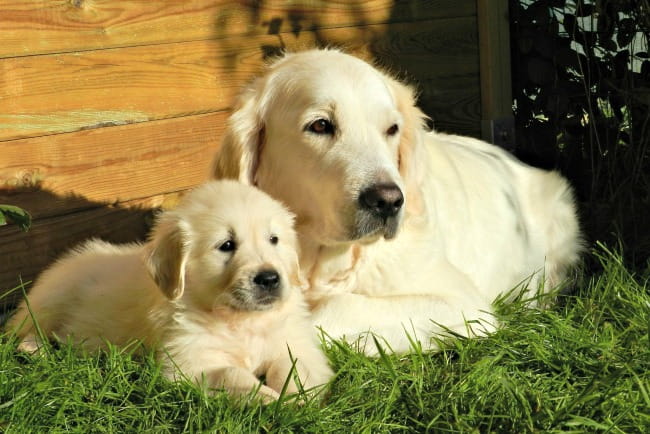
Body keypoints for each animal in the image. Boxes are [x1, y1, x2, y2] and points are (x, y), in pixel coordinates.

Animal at [8, 179, 334, 400]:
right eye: (226, 245)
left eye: (274, 240)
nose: (269, 278)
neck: (239, 320)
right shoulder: (187, 363)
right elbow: (231, 374)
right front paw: (268, 399)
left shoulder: (295, 343)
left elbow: (292, 366)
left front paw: (295, 399)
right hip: (53, 295)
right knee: (23, 327)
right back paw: (34, 348)